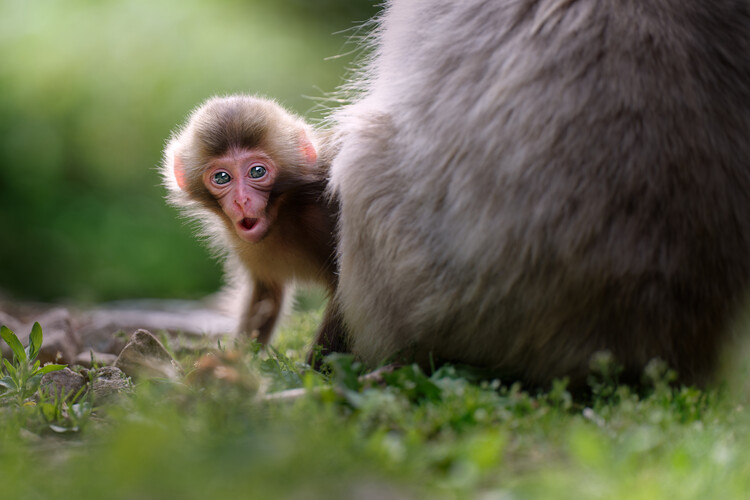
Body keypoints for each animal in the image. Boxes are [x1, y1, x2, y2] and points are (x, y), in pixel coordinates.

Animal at [162, 95, 346, 358]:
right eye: (221, 177)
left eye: (257, 171)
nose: (241, 201)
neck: (288, 210)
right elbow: (267, 294)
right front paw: (238, 359)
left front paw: (317, 366)